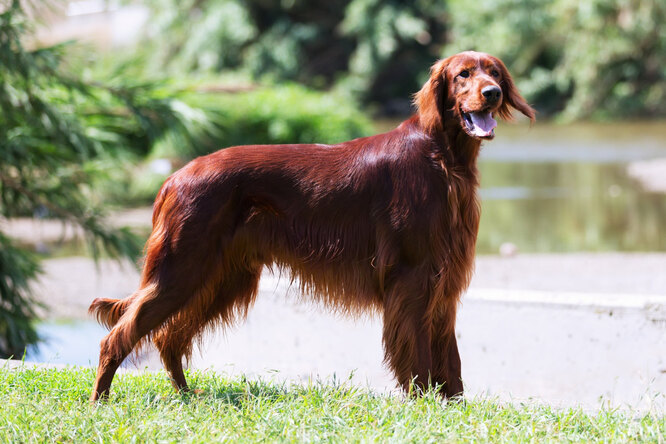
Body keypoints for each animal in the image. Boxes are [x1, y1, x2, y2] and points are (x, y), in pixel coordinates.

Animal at [89, 50, 536, 400]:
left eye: (494, 73)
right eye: (463, 74)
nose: (492, 94)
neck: (442, 157)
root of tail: (175, 176)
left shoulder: (444, 281)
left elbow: (452, 361)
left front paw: (454, 408)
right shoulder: (413, 276)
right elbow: (421, 356)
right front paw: (424, 403)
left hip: (221, 278)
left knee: (169, 337)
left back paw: (186, 395)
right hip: (182, 269)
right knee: (118, 335)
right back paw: (100, 401)